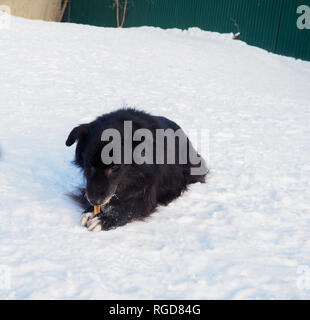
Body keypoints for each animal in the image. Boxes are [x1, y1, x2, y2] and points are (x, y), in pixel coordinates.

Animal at [65, 109, 207, 231]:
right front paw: (90, 211)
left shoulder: (147, 191)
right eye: (88, 164)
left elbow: (128, 209)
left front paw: (103, 220)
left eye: (114, 167)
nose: (95, 201)